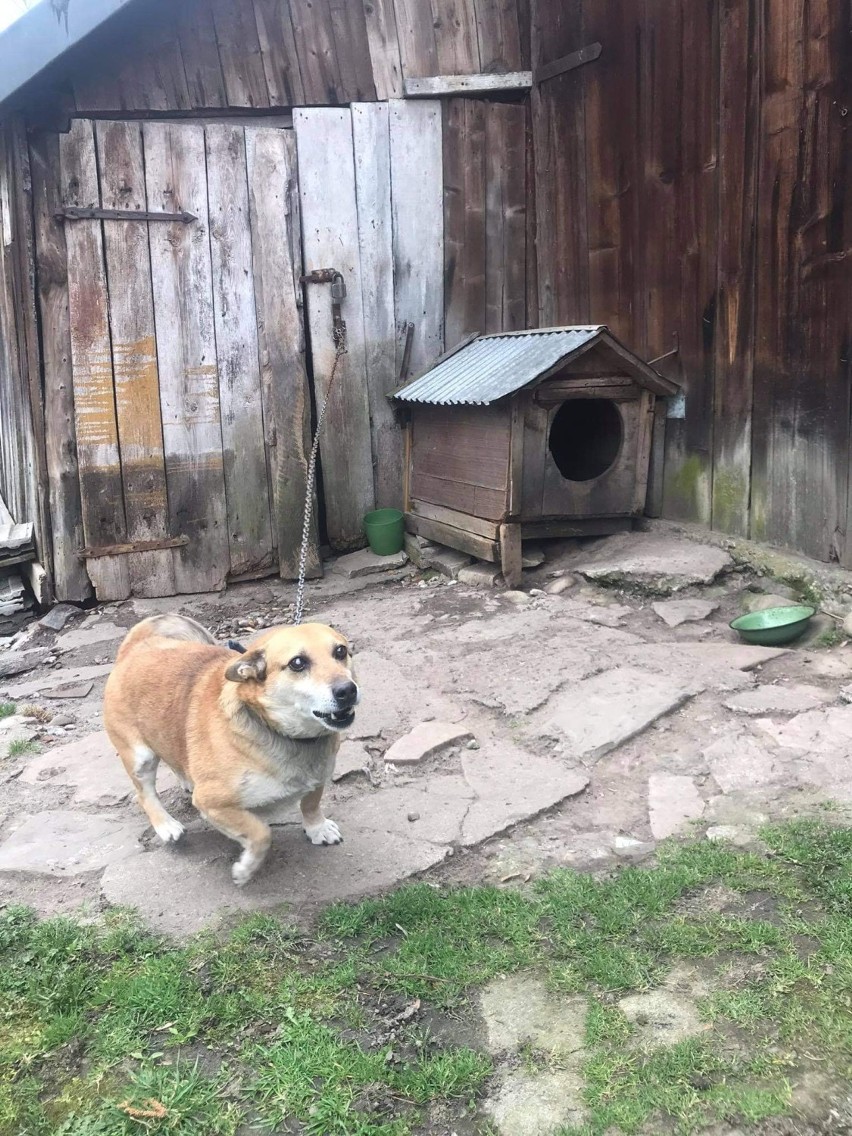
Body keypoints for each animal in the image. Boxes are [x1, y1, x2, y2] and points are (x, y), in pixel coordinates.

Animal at [105, 613, 358, 886]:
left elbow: (311, 804)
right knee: (144, 794)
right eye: (297, 663)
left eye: (340, 651)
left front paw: (317, 828)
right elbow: (261, 833)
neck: (280, 732)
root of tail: (133, 648)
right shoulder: (213, 803)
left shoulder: (318, 777)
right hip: (139, 757)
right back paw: (166, 825)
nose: (347, 690)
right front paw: (246, 868)